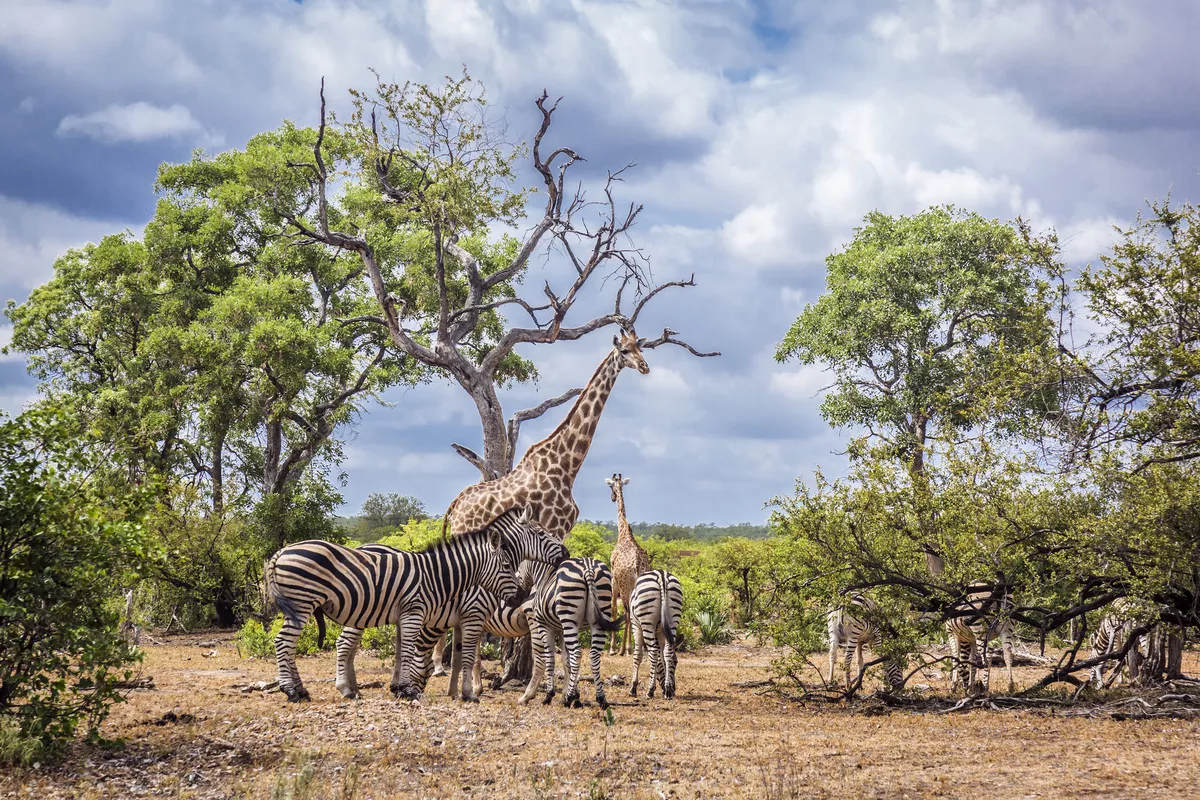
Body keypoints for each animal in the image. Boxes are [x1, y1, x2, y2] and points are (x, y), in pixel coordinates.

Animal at [265, 510, 564, 705]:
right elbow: (458, 656)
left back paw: (334, 689)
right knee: (290, 643)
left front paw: (451, 692)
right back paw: (299, 691)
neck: (442, 575)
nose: (566, 553)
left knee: (316, 645)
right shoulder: (467, 614)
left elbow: (450, 657)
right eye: (541, 533)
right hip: (306, 603)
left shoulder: (445, 618)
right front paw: (463, 693)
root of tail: (280, 552)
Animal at [432, 331, 652, 676]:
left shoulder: (557, 535)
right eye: (625, 350)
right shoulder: (554, 529)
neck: (567, 464)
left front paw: (528, 663)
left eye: (641, 346)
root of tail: (454, 507)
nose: (644, 366)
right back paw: (449, 666)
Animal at [518, 556, 624, 705]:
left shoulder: (545, 626)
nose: (521, 593)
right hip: (598, 617)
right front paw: (574, 695)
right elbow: (566, 660)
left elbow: (550, 658)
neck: (544, 575)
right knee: (594, 655)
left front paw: (552, 695)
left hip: (569, 616)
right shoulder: (562, 630)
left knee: (577, 654)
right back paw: (601, 698)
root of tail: (588, 567)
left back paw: (568, 699)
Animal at [628, 568, 686, 700]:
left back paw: (649, 691)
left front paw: (634, 688)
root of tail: (661, 575)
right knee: (667, 651)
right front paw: (666, 688)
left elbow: (638, 655)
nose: (674, 690)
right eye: (675, 662)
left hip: (647, 621)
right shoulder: (660, 632)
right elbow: (662, 656)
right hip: (673, 618)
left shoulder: (636, 626)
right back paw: (667, 691)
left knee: (653, 652)